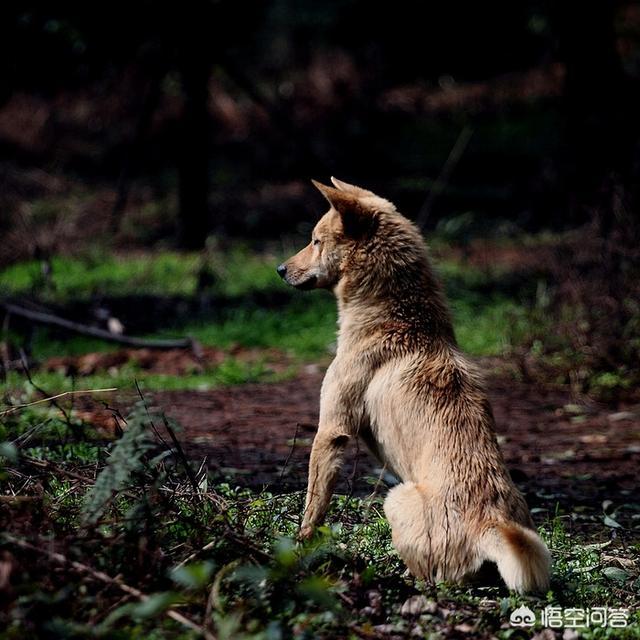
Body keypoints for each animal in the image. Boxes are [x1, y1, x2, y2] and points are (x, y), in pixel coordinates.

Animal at [276, 178, 552, 592]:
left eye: (315, 241)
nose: (279, 269)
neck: (400, 319)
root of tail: (492, 522)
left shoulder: (332, 431)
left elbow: (313, 508)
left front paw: (299, 549)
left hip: (394, 497)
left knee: (430, 575)